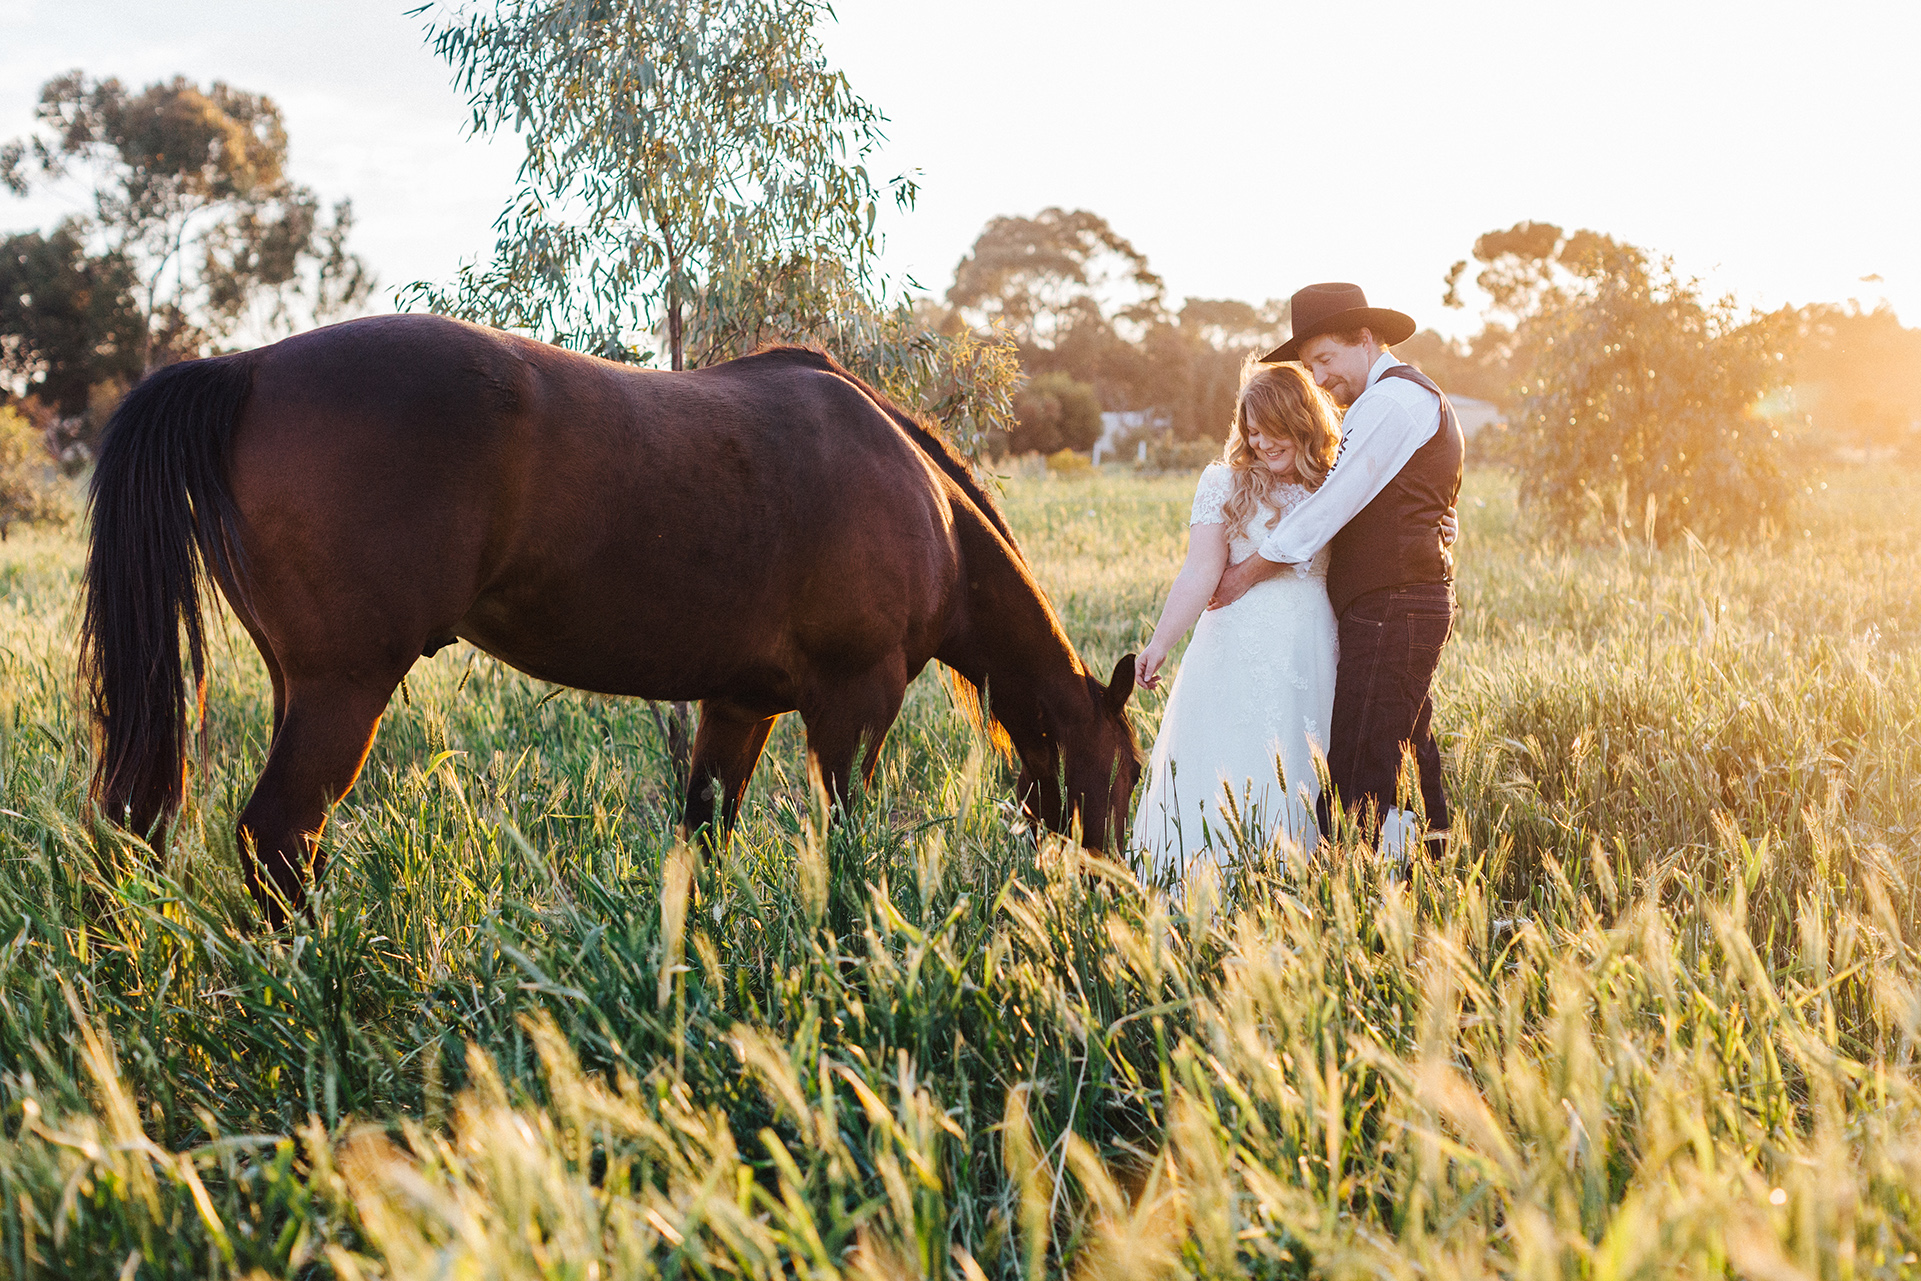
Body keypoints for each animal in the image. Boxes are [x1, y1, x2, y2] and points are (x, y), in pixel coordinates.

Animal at [82, 316, 1137, 925]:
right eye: (1128, 771)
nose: (1112, 885)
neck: (927, 512)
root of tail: (251, 366)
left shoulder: (738, 708)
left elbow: (703, 837)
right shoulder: (854, 704)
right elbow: (844, 844)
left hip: (298, 685)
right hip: (342, 690)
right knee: (276, 838)